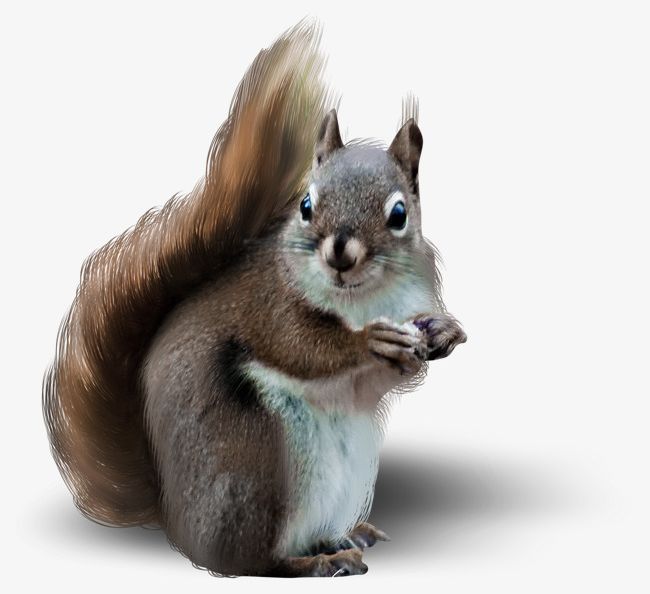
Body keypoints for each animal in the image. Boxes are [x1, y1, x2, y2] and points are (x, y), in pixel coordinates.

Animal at [42, 22, 466, 577]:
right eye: (306, 205)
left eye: (399, 214)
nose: (340, 254)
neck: (361, 298)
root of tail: (176, 522)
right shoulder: (270, 307)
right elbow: (301, 347)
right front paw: (367, 343)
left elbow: (387, 378)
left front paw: (444, 331)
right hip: (263, 461)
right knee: (250, 560)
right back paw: (314, 562)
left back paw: (345, 536)